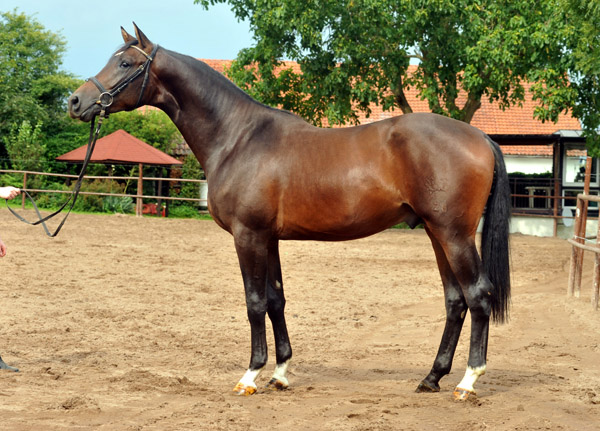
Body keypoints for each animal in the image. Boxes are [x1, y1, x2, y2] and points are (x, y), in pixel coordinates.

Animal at [69, 24, 510, 402]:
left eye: (126, 63)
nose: (75, 101)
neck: (239, 137)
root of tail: (480, 136)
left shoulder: (248, 235)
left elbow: (254, 303)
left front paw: (250, 375)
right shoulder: (269, 239)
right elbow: (276, 300)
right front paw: (280, 374)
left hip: (453, 235)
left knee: (478, 295)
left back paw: (468, 382)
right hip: (436, 233)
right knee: (455, 300)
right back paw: (432, 377)